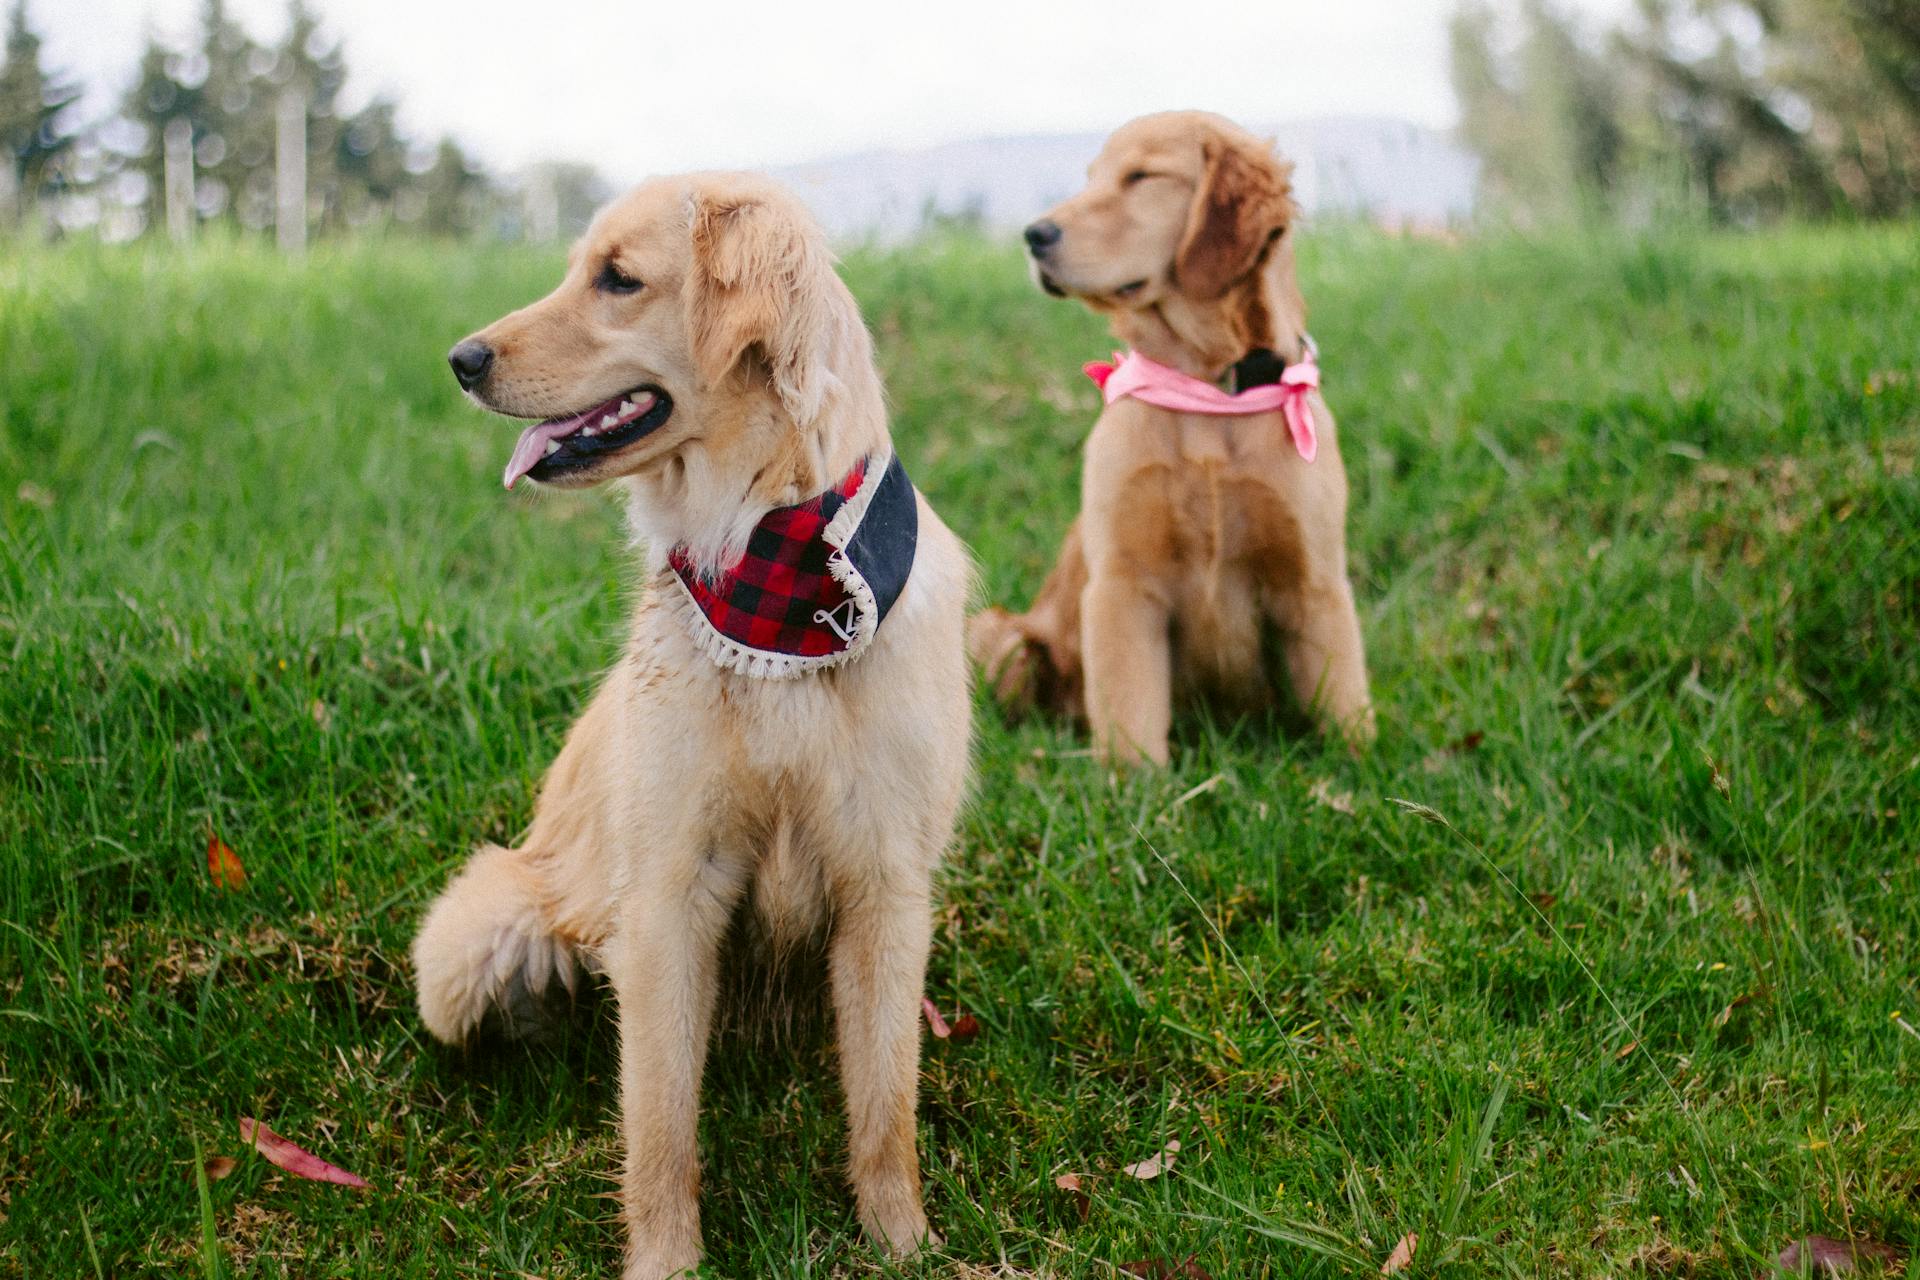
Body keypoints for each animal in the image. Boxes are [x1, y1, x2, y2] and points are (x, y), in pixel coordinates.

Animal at [410, 172, 967, 1280]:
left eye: (619, 279)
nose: (462, 360)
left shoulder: (885, 885)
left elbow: (886, 1103)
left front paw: (902, 1244)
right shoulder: (672, 891)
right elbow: (659, 1118)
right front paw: (666, 1260)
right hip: (467, 947)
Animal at [967, 112, 1374, 759]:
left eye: (1142, 177)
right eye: (1092, 178)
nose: (1034, 235)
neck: (1205, 387)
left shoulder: (1316, 585)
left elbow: (1343, 701)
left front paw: (1360, 767)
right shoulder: (1122, 584)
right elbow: (1130, 714)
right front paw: (1134, 782)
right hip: (1001, 633)